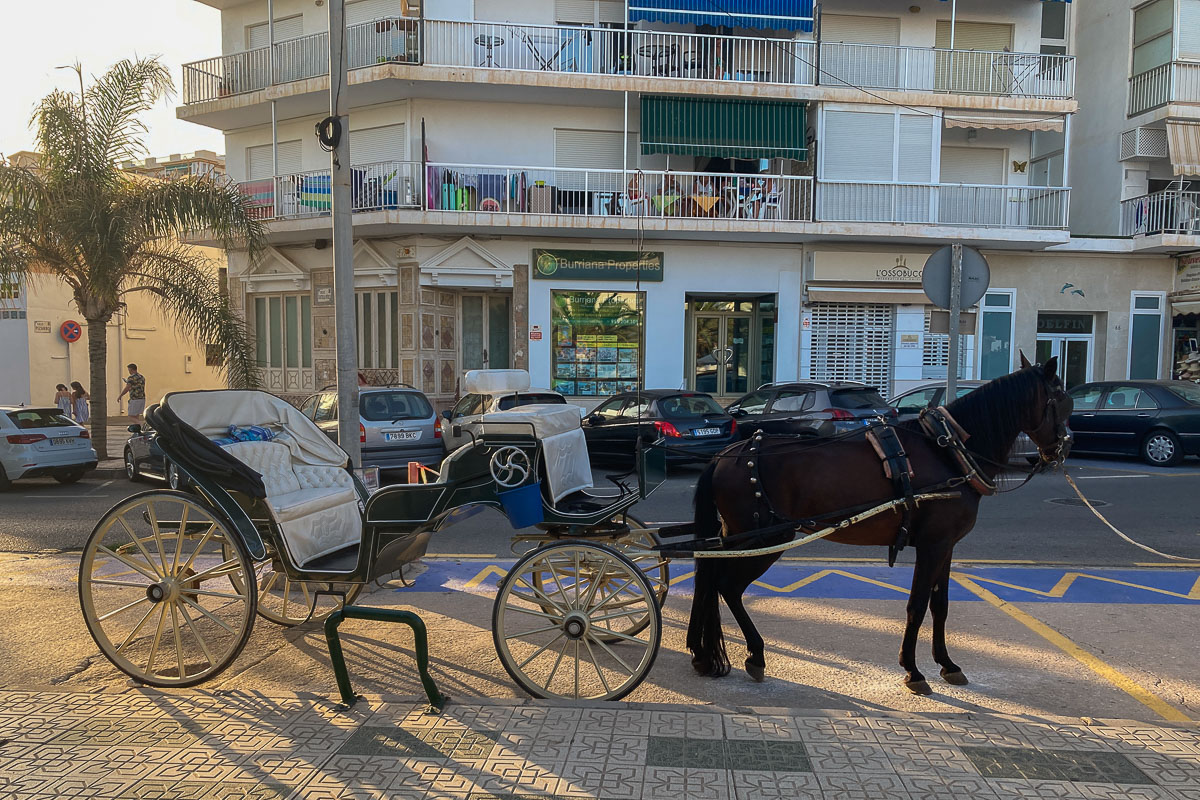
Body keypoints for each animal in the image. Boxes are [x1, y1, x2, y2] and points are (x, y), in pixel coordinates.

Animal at [691, 357, 1075, 695]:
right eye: (1062, 401)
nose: (1063, 448)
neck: (949, 451)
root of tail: (724, 456)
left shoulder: (946, 545)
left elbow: (940, 605)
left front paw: (947, 664)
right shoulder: (933, 545)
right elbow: (917, 605)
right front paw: (913, 670)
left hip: (736, 535)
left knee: (713, 580)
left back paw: (706, 652)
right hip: (767, 537)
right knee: (728, 587)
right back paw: (754, 653)